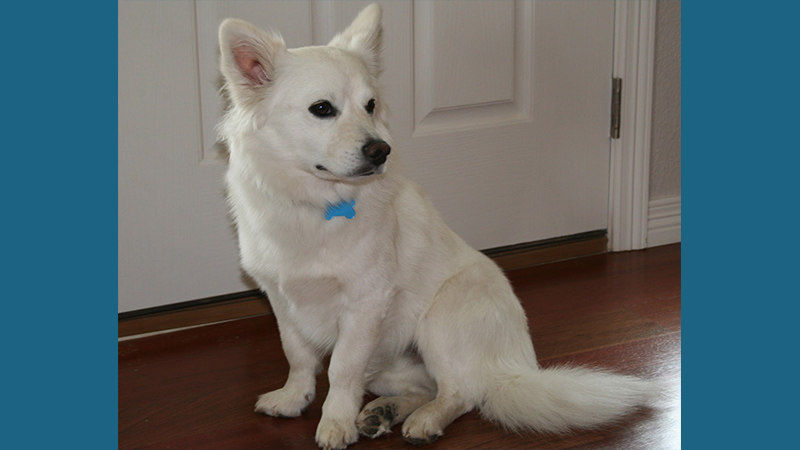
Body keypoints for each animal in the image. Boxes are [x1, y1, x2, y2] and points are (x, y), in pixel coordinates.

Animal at [216, 4, 652, 450]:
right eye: (322, 108)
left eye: (370, 105)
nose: (381, 150)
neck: (315, 204)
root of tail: (514, 367)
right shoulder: (281, 299)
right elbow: (298, 355)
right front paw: (294, 399)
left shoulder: (364, 305)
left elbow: (341, 370)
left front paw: (335, 422)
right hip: (390, 364)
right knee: (426, 387)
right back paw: (382, 413)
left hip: (437, 320)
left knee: (461, 392)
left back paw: (423, 421)